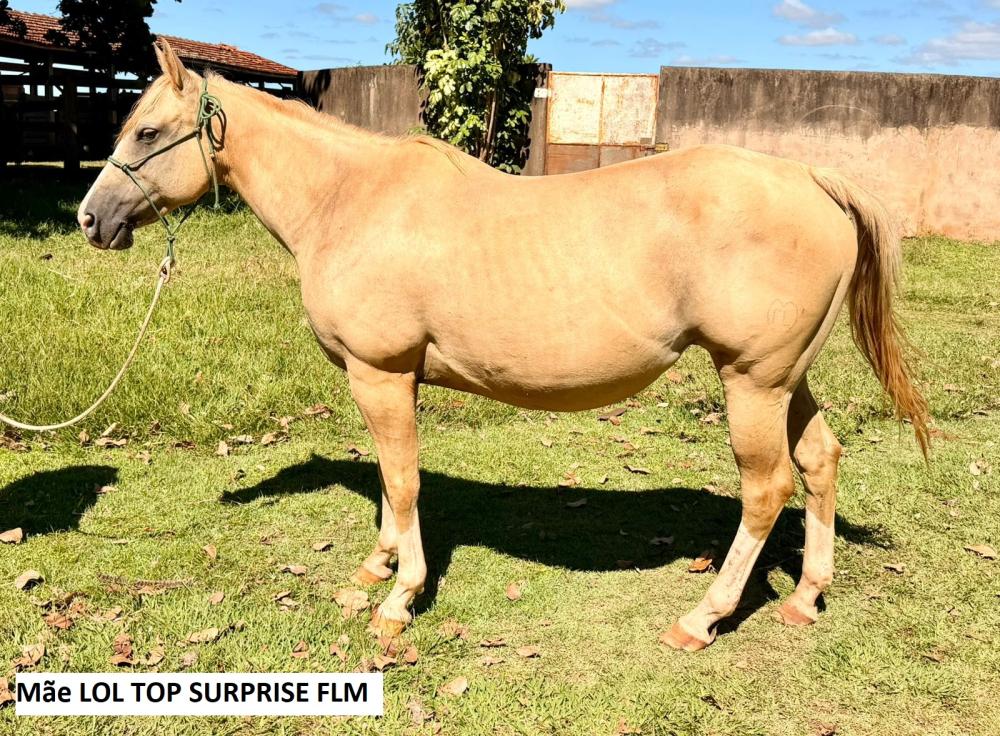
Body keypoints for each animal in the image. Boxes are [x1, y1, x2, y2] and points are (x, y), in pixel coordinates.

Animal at [77, 40, 929, 650]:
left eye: (148, 131)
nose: (90, 219)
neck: (349, 200)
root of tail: (812, 179)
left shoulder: (379, 375)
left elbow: (405, 483)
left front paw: (399, 598)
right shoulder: (387, 380)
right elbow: (389, 481)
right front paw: (379, 564)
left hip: (751, 384)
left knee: (766, 489)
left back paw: (702, 618)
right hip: (783, 381)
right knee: (820, 462)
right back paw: (806, 598)